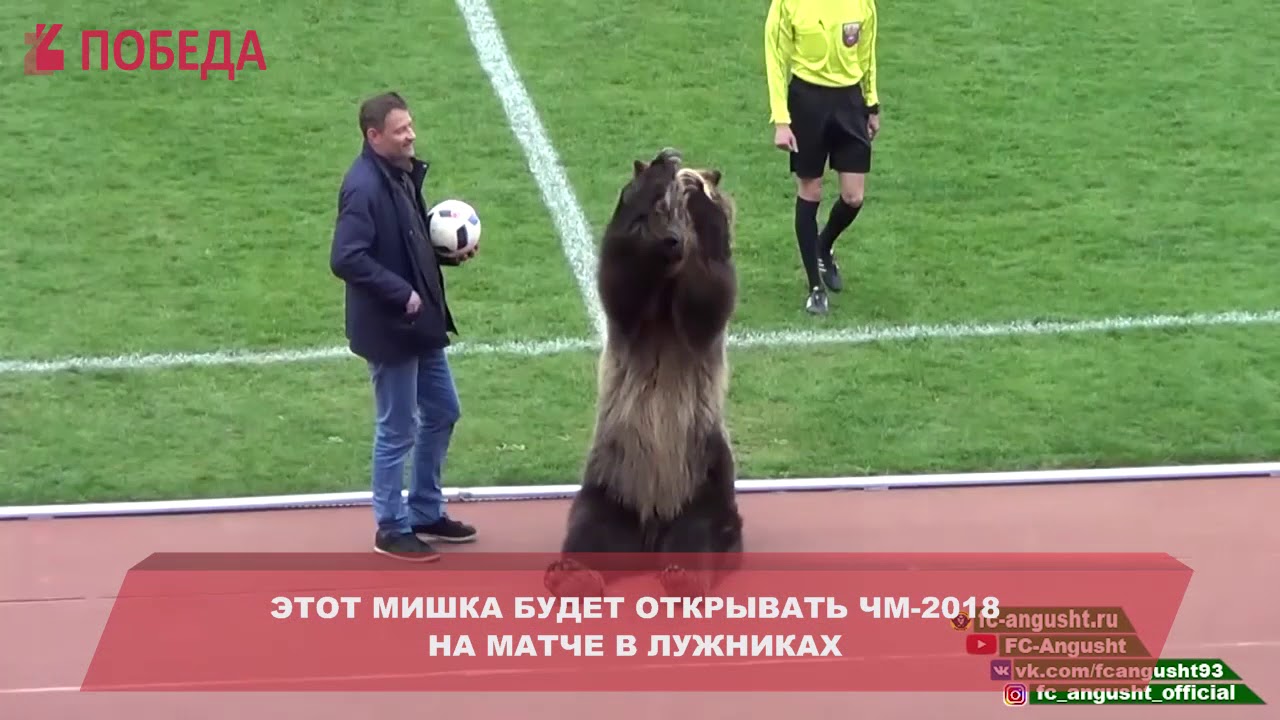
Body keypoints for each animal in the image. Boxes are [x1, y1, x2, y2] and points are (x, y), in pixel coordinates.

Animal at [544, 147, 743, 600]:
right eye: (660, 208)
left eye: (675, 208)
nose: (671, 240)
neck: (665, 285)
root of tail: (651, 531)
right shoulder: (633, 317)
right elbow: (620, 277)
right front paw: (656, 171)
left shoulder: (693, 328)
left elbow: (710, 291)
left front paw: (701, 196)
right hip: (612, 484)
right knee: (589, 533)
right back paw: (574, 574)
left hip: (702, 476)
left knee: (702, 536)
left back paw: (681, 574)